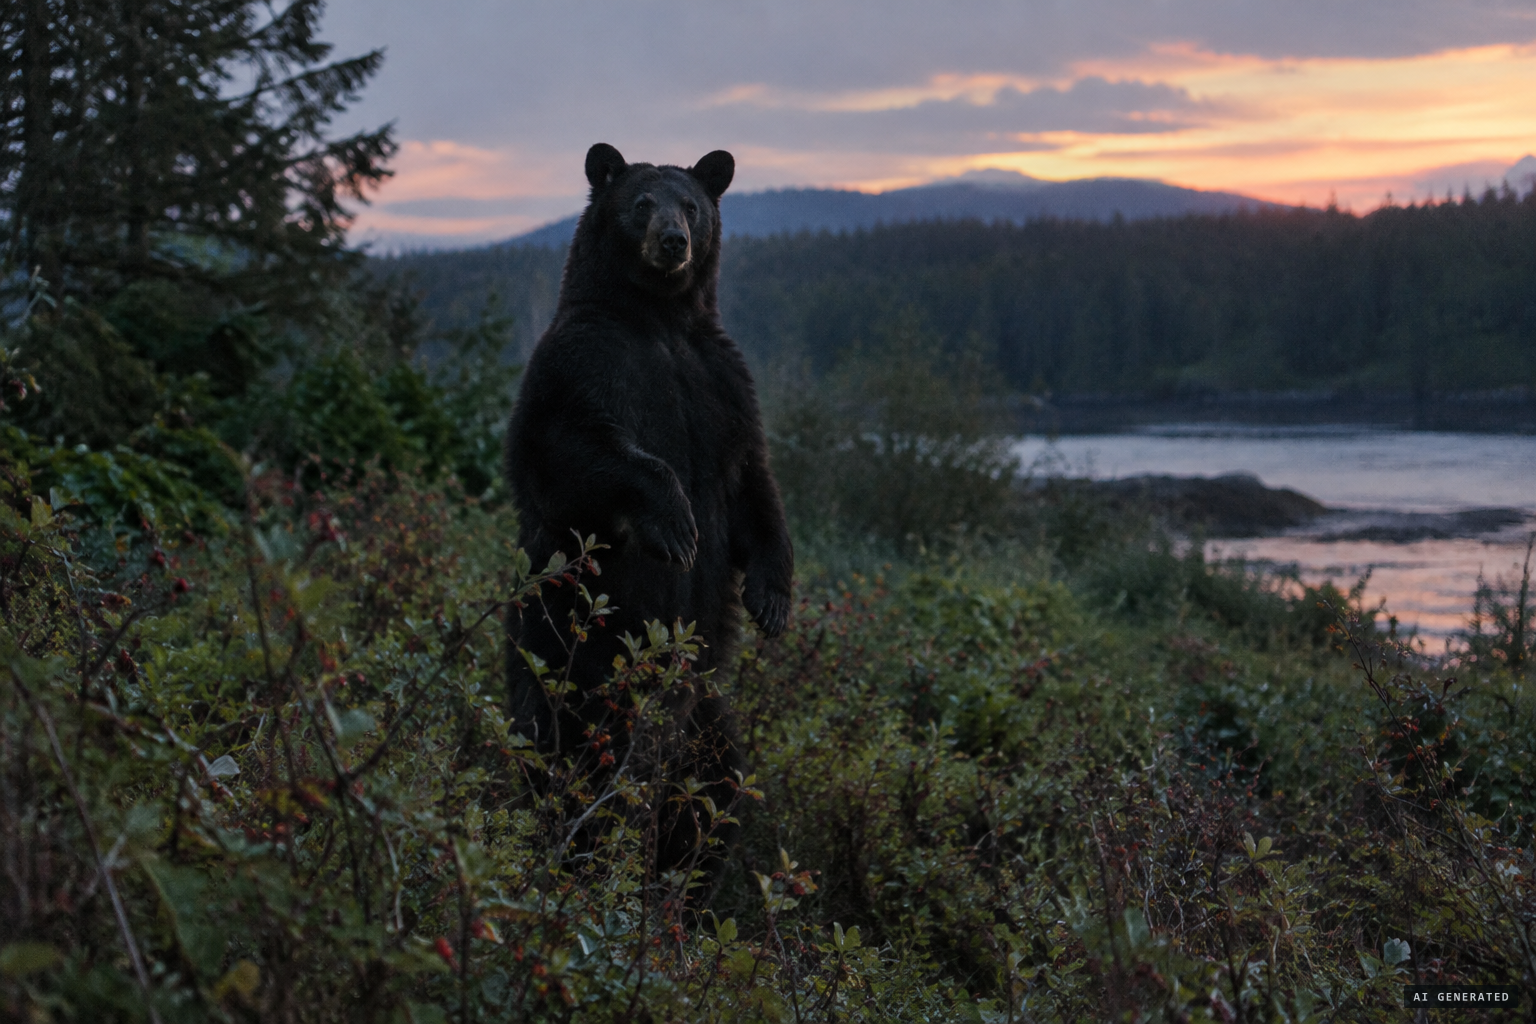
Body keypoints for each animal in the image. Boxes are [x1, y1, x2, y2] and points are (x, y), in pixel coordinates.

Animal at [504, 143, 794, 897]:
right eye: (641, 202)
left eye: (691, 204)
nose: (674, 242)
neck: (660, 321)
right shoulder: (582, 365)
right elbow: (575, 452)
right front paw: (675, 526)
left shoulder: (722, 384)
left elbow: (754, 486)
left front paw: (773, 598)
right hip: (580, 664)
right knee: (577, 768)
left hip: (703, 707)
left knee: (716, 785)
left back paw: (679, 890)